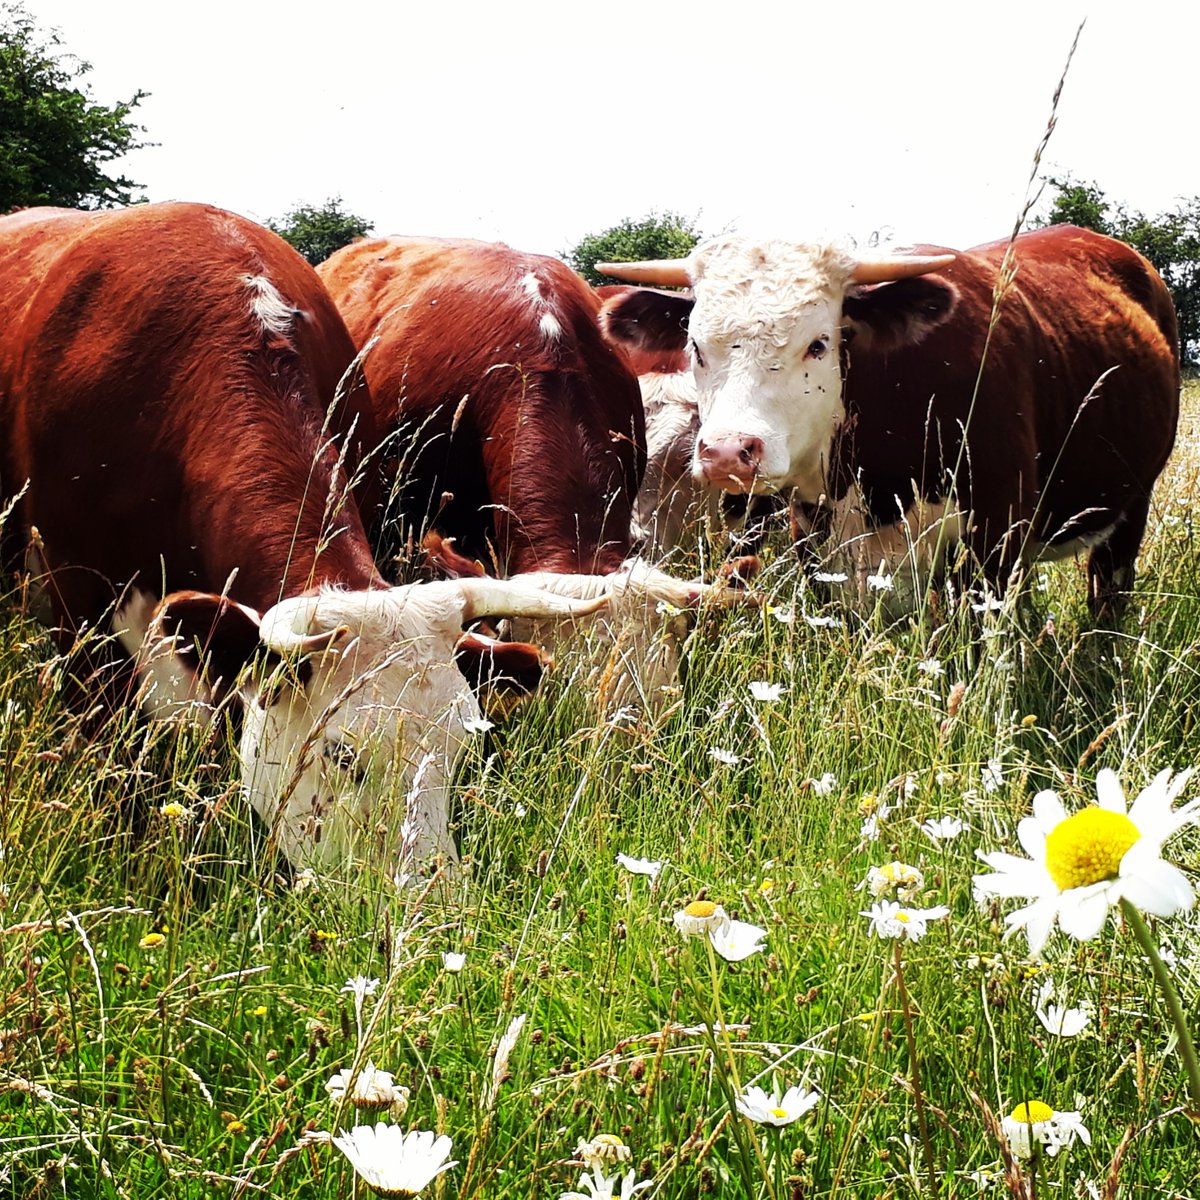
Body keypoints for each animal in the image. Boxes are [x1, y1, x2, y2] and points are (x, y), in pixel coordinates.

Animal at [596, 226, 1181, 616]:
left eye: (819, 344)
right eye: (695, 346)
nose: (726, 452)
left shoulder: (993, 537)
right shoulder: (817, 539)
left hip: (1131, 506)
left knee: (1107, 596)